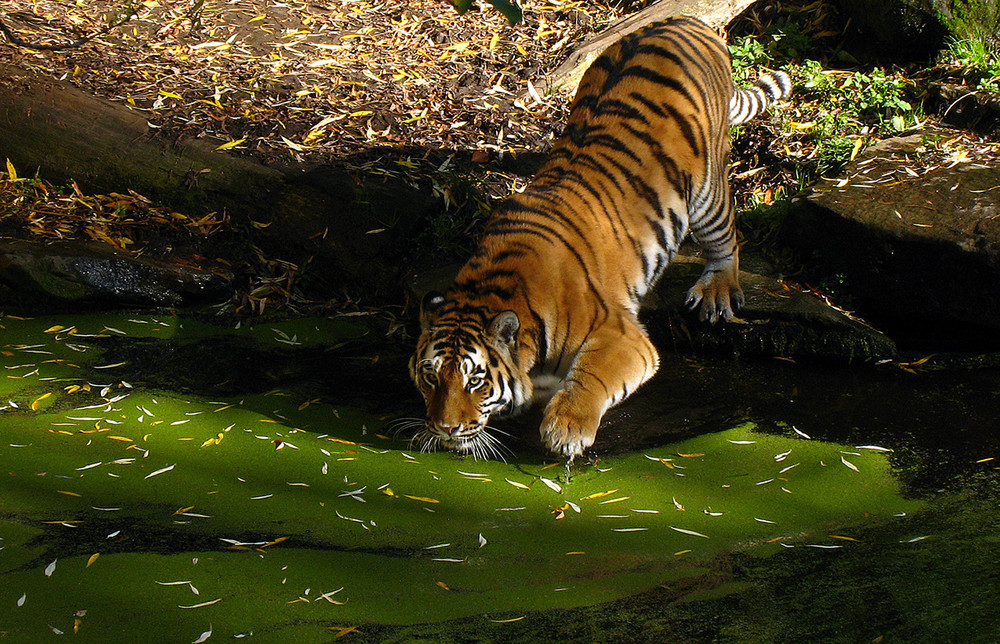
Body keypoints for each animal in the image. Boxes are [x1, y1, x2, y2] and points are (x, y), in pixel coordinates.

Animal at [406, 17, 788, 460]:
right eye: (431, 377)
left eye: (475, 381)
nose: (446, 428)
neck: (493, 288)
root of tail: (685, 20)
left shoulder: (621, 336)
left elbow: (590, 377)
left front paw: (566, 428)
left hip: (707, 189)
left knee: (726, 240)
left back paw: (717, 292)